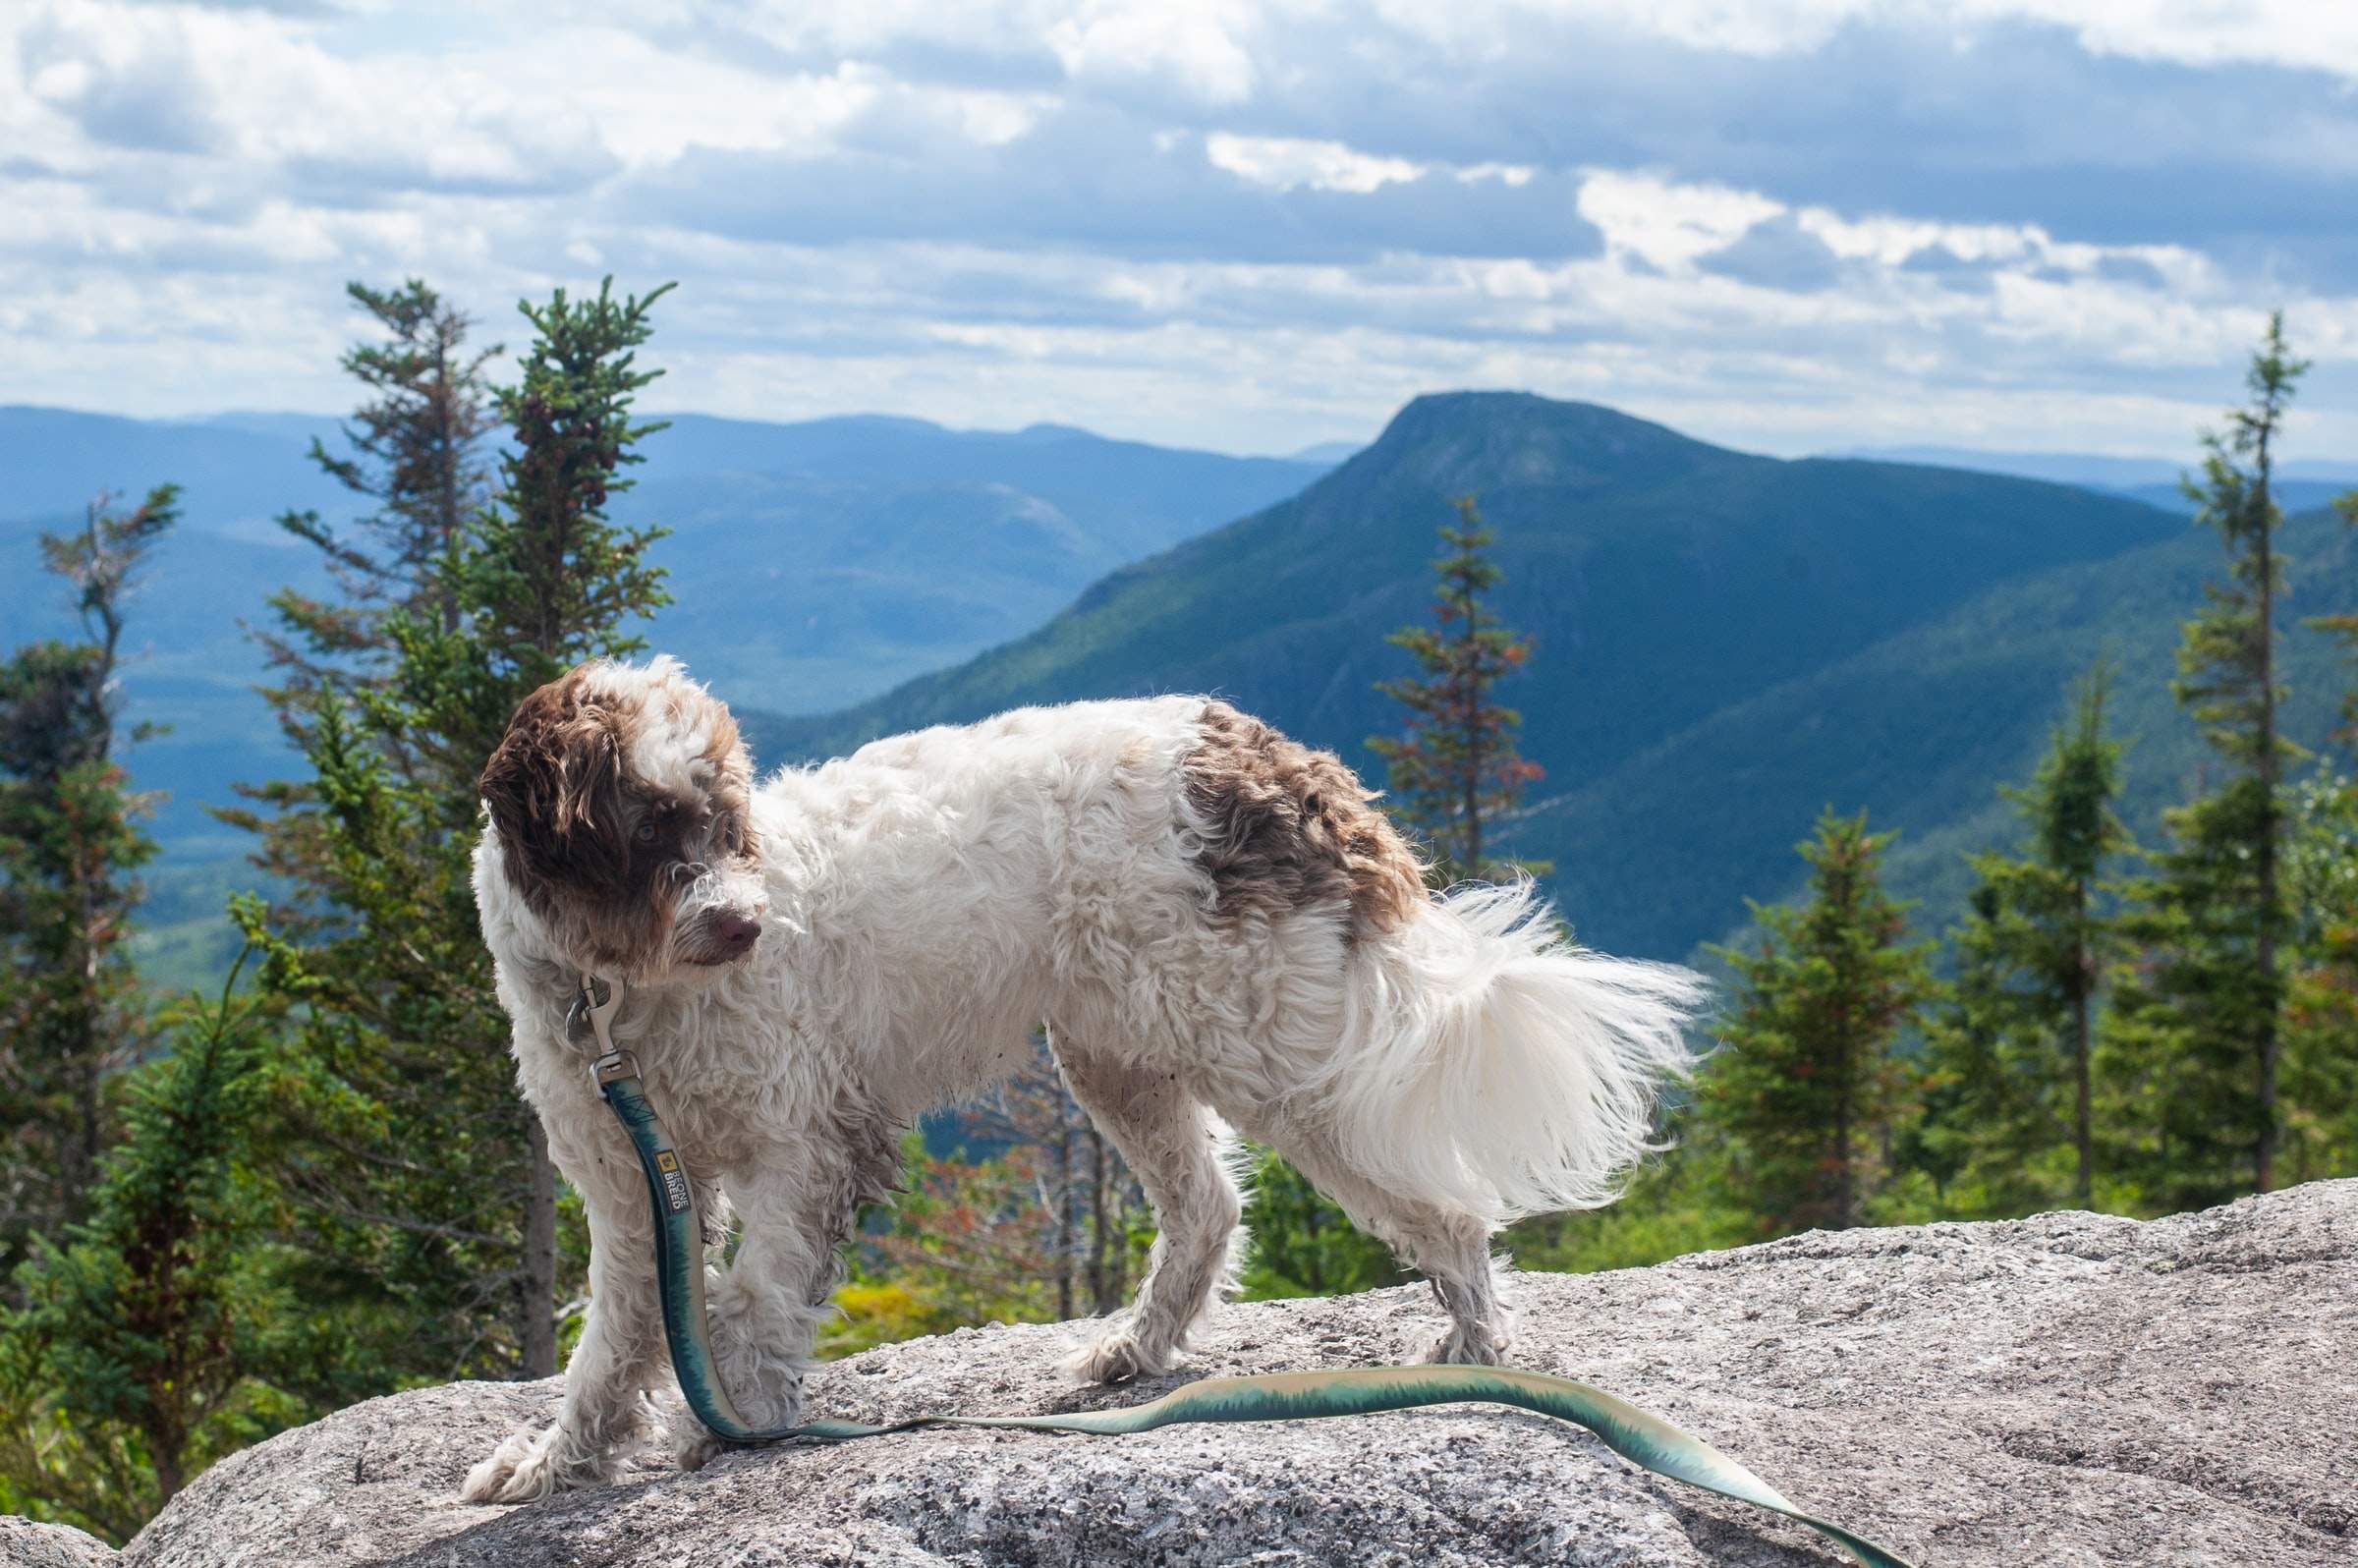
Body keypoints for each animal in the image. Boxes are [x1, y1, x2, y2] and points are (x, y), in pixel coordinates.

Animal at [455, 655, 1698, 1499]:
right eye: (644, 829)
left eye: (725, 819)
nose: (746, 925)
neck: (626, 994)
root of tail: (1279, 762)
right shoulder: (631, 1191)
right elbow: (616, 1343)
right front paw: (556, 1460)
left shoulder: (801, 1146)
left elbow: (753, 1306)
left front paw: (733, 1425)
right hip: (1122, 1053)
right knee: (1209, 1207)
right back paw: (1137, 1351)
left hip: (1286, 1058)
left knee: (1448, 1212)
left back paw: (1477, 1348)